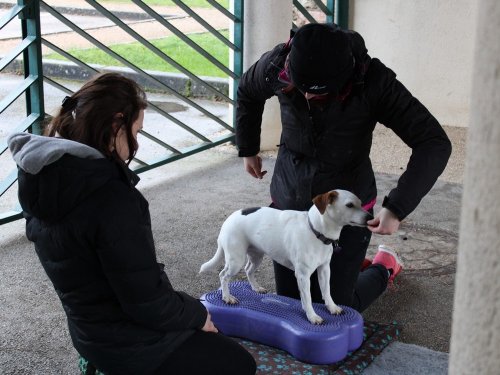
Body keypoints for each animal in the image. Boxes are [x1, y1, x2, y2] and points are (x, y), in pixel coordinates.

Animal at [199, 189, 372, 324]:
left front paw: (332, 307)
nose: (370, 217)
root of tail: (228, 220)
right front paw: (312, 316)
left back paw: (255, 287)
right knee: (223, 276)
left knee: (248, 270)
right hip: (236, 260)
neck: (316, 231)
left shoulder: (324, 269)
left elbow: (326, 291)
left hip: (256, 256)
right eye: (349, 205)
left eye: (361, 203)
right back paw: (227, 297)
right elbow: (308, 297)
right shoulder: (302, 275)